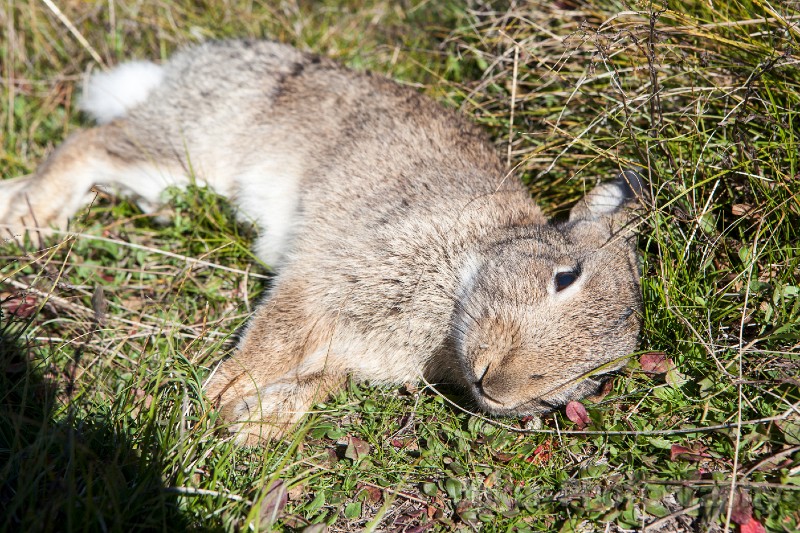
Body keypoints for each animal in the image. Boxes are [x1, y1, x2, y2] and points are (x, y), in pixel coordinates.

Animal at [0, 39, 648, 442]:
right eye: (564, 276)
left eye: (597, 376)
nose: (499, 385)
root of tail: (185, 66)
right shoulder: (324, 276)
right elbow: (276, 336)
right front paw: (224, 393)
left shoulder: (351, 354)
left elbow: (316, 385)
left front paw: (254, 422)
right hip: (190, 150)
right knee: (90, 145)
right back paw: (26, 219)